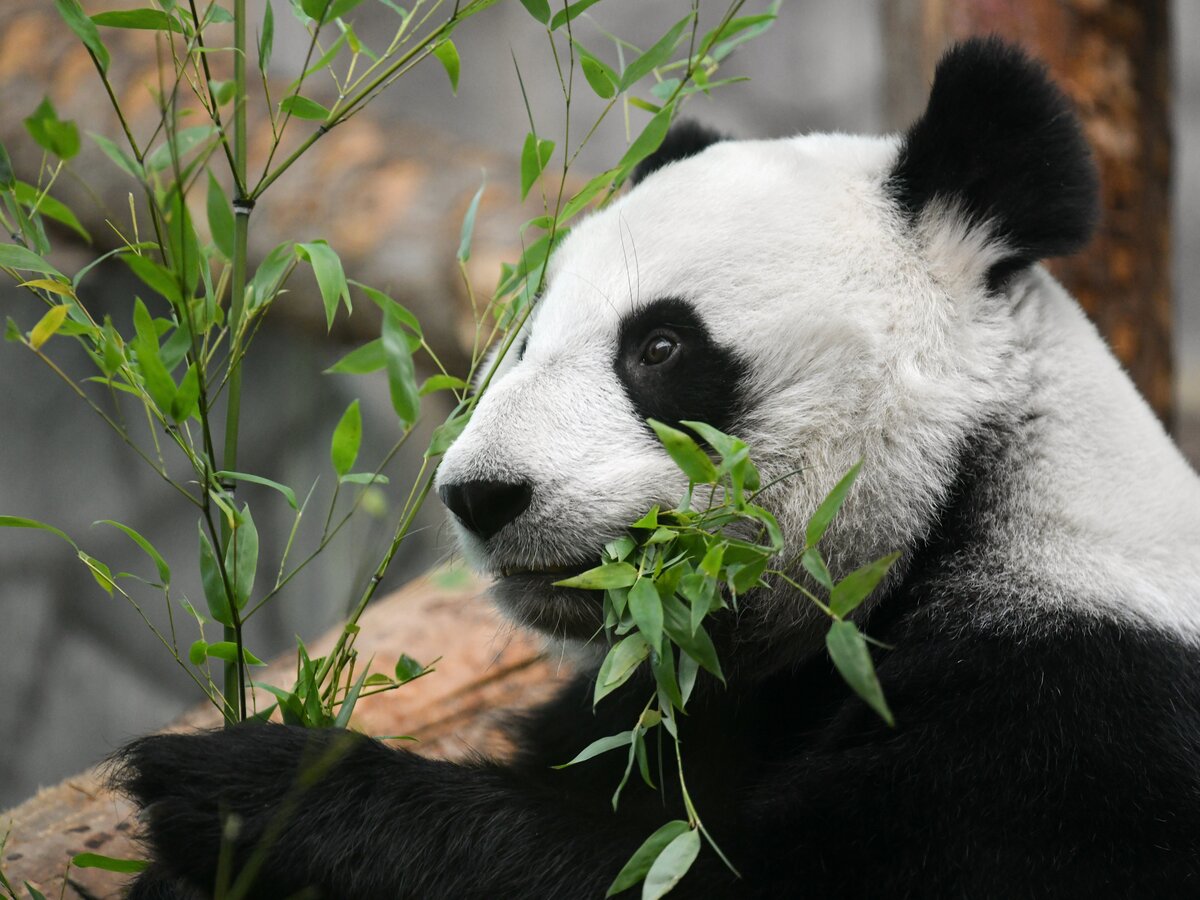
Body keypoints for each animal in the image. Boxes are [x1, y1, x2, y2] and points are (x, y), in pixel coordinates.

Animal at [117, 37, 1200, 900]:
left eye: (661, 347)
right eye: (524, 341)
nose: (481, 495)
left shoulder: (1067, 732)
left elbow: (670, 872)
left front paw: (240, 791)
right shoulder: (666, 702)